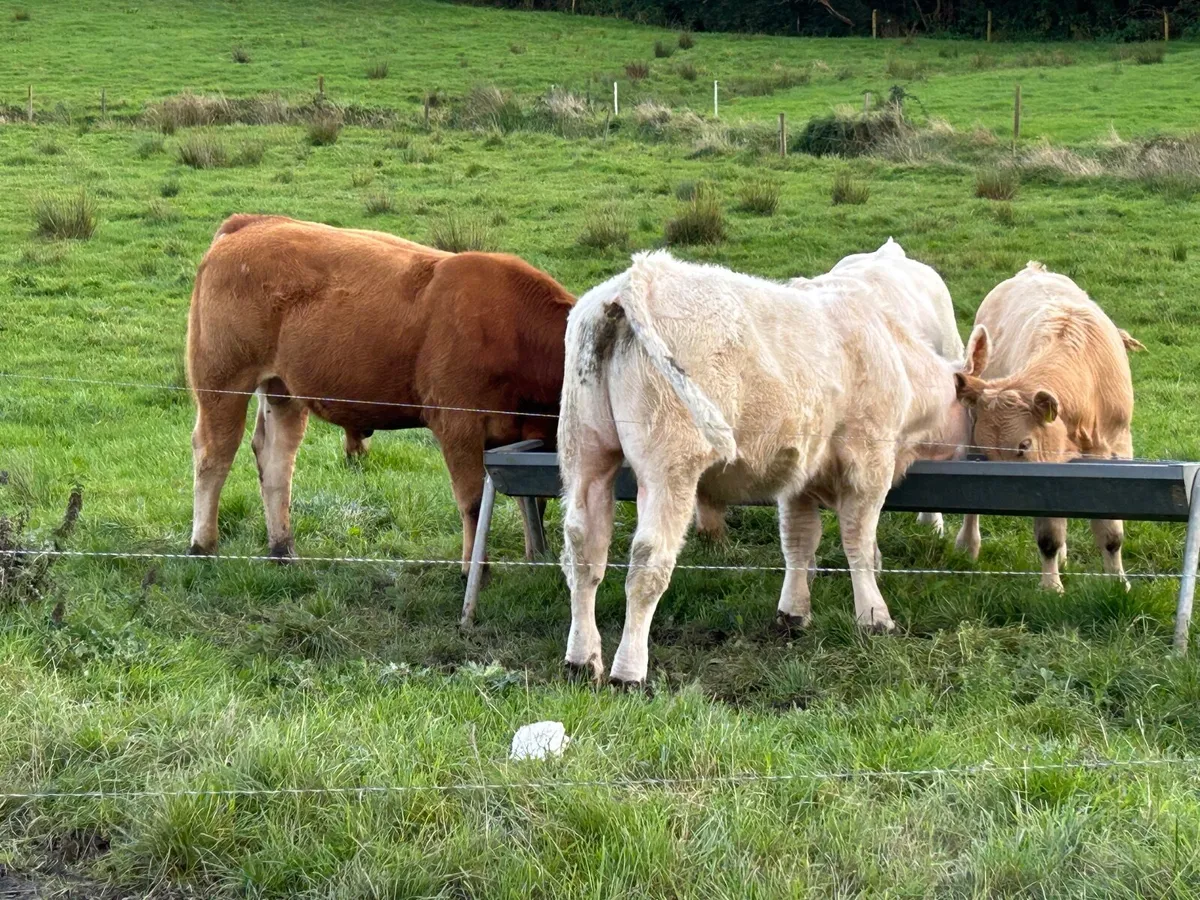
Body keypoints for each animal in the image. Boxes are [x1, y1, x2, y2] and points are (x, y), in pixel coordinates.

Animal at [186, 215, 574, 571]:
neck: (516, 331)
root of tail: (252, 222)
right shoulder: (458, 425)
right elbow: (473, 503)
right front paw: (474, 568)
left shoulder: (524, 436)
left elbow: (532, 500)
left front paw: (536, 558)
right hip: (223, 381)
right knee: (214, 454)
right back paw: (202, 547)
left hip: (283, 390)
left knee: (276, 459)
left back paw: (282, 549)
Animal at [558, 250, 977, 686]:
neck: (894, 355)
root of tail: (639, 275)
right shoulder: (869, 461)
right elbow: (858, 541)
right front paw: (874, 615)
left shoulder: (800, 475)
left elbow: (798, 541)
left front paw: (793, 612)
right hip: (669, 469)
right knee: (646, 565)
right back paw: (629, 671)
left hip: (586, 456)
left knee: (583, 553)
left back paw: (582, 659)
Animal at [953, 262, 1144, 591]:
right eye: (990, 453)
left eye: (1023, 445)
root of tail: (1033, 270)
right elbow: (1049, 536)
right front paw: (1051, 588)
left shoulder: (1116, 448)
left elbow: (1111, 533)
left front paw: (1118, 584)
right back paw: (968, 545)